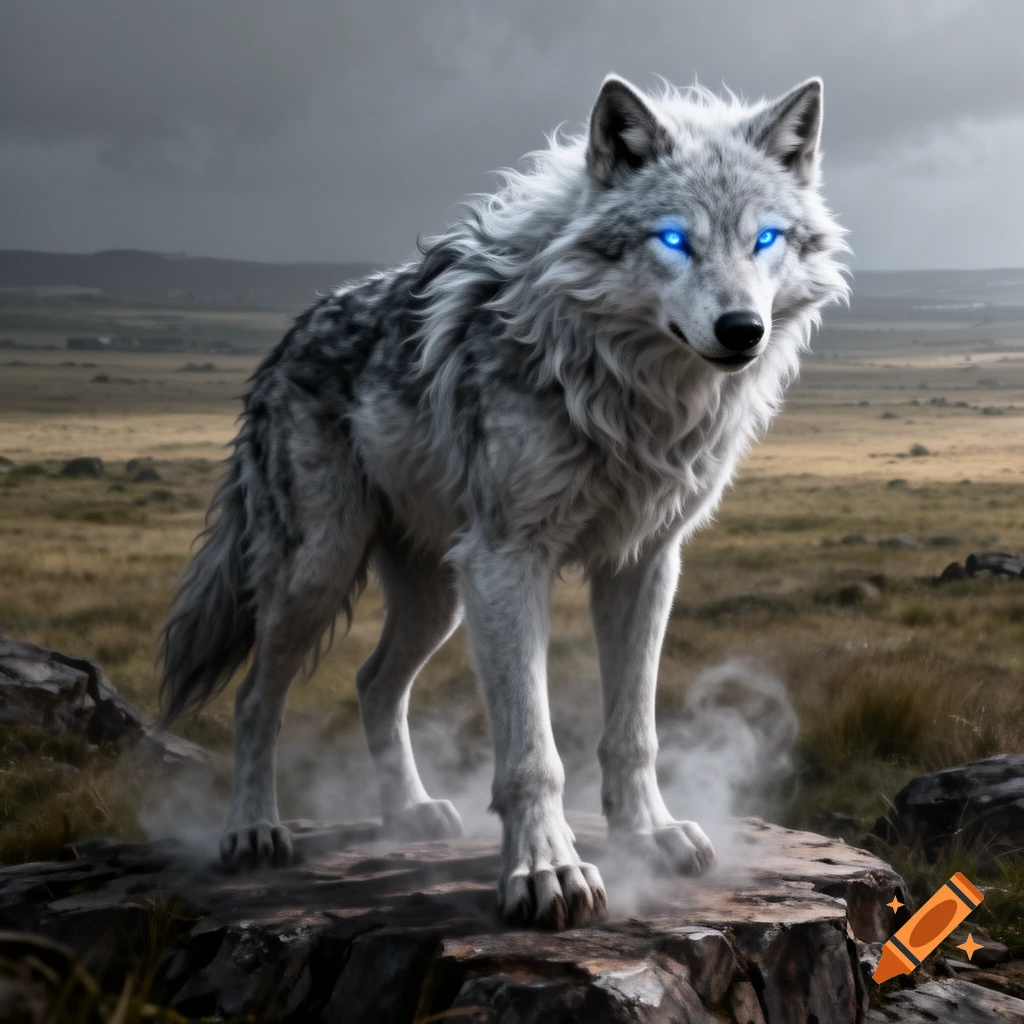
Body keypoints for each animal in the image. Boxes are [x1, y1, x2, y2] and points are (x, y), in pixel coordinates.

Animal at [159, 72, 848, 929]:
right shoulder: (509, 561)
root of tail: (283, 341)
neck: (628, 396)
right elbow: (531, 753)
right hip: (323, 571)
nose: (741, 329)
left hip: (438, 598)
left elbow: (634, 731)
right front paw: (548, 871)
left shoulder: (645, 563)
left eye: (765, 240)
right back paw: (253, 832)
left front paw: (648, 835)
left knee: (373, 682)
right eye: (673, 240)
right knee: (258, 698)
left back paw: (409, 814)